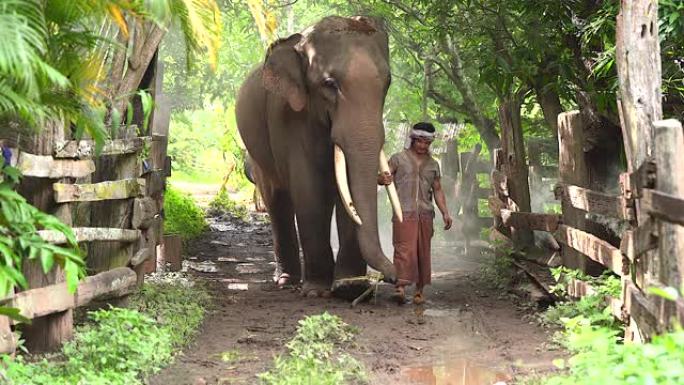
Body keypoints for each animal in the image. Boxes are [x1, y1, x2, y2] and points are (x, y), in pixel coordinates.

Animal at [238, 15, 404, 296]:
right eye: (330, 84)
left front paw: (351, 286)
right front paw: (317, 290)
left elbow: (347, 195)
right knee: (276, 201)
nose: (396, 278)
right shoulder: (288, 118)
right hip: (257, 155)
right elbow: (310, 192)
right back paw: (286, 280)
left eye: (387, 82)